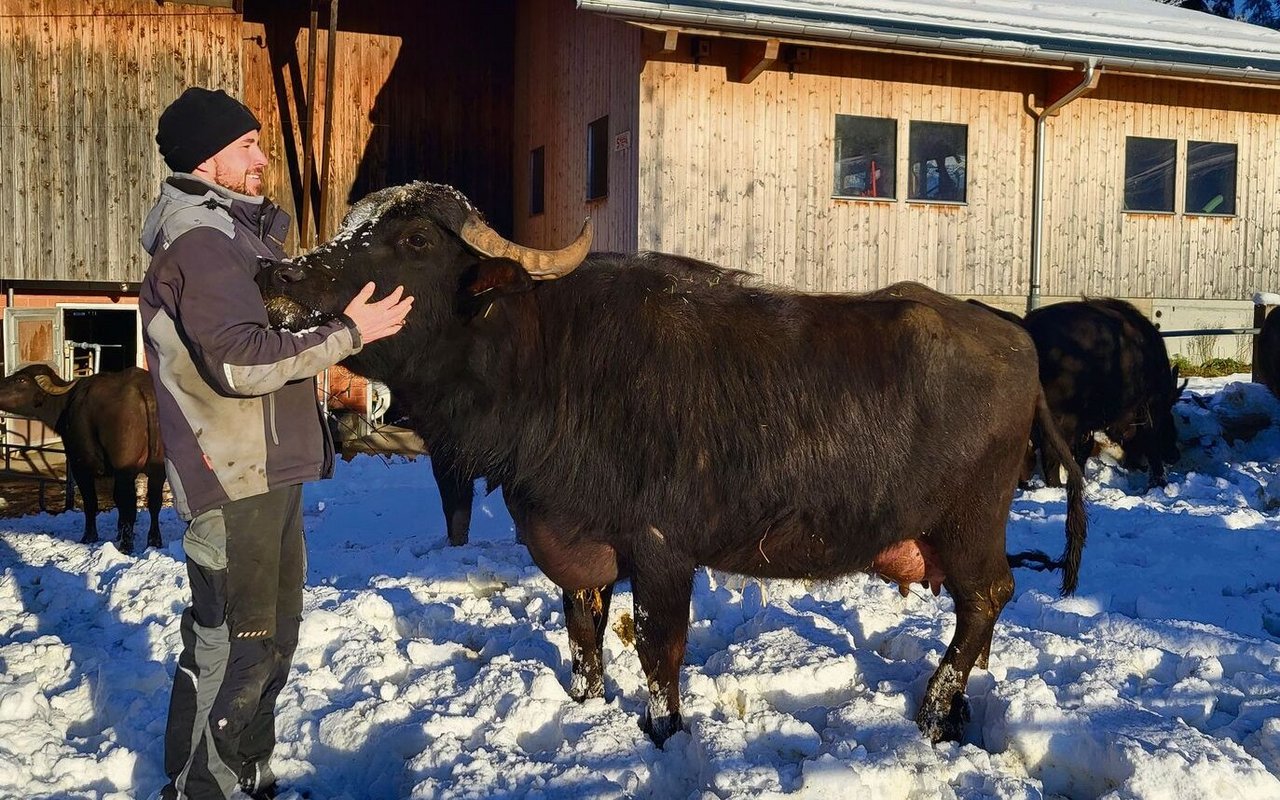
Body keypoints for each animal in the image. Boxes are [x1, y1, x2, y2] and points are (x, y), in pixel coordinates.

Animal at [0, 363, 165, 545]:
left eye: (21, 379)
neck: (66, 404)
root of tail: (143, 387)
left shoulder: (80, 466)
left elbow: (91, 502)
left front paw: (89, 537)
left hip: (124, 469)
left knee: (129, 503)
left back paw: (125, 545)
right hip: (158, 468)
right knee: (154, 502)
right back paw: (154, 540)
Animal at [254, 180, 1085, 742]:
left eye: (415, 242)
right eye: (354, 226)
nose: (278, 277)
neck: (548, 363)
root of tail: (1015, 338)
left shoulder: (660, 551)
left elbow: (659, 650)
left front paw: (665, 730)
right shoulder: (576, 545)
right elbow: (584, 636)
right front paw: (589, 705)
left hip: (970, 527)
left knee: (987, 600)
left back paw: (935, 708)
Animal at [1024, 299, 1182, 486]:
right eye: (1168, 413)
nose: (1175, 455)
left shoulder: (1086, 425)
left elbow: (1084, 450)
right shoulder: (1150, 408)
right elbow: (1151, 443)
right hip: (1059, 419)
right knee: (1051, 452)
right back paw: (1055, 486)